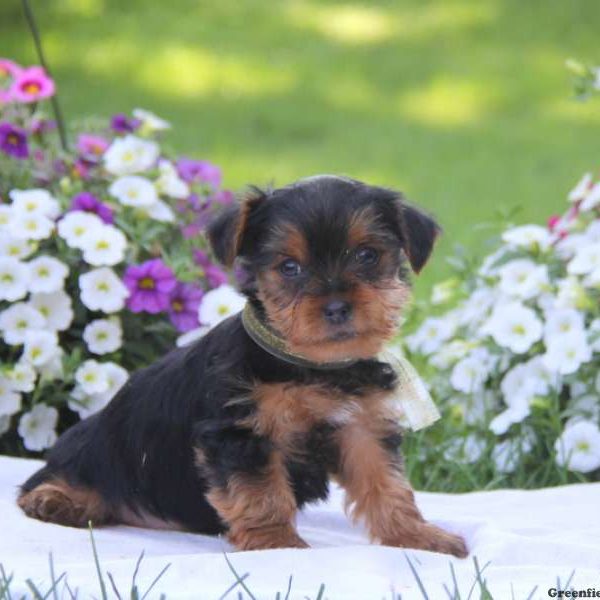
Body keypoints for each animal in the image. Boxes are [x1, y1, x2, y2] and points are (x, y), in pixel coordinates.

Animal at [17, 175, 468, 556]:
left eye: (367, 255)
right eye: (290, 267)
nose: (338, 307)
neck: (312, 365)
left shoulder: (362, 427)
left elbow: (387, 483)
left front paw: (415, 535)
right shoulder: (241, 433)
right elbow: (261, 492)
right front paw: (276, 544)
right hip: (97, 449)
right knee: (59, 478)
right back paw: (53, 499)